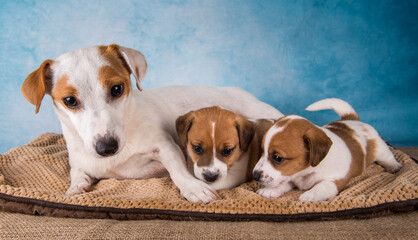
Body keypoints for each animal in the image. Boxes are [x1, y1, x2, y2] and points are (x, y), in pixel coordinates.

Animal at [22, 43, 284, 202]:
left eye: (117, 89)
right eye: (69, 100)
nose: (107, 147)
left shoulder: (166, 147)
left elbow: (177, 170)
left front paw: (193, 188)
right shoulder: (80, 160)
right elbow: (76, 172)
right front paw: (77, 186)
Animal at [251, 98, 402, 202]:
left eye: (277, 158)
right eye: (262, 151)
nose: (255, 175)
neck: (306, 172)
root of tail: (353, 120)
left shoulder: (334, 181)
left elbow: (320, 187)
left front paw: (309, 195)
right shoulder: (290, 177)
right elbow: (283, 183)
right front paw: (271, 190)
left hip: (380, 149)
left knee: (388, 157)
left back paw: (394, 166)